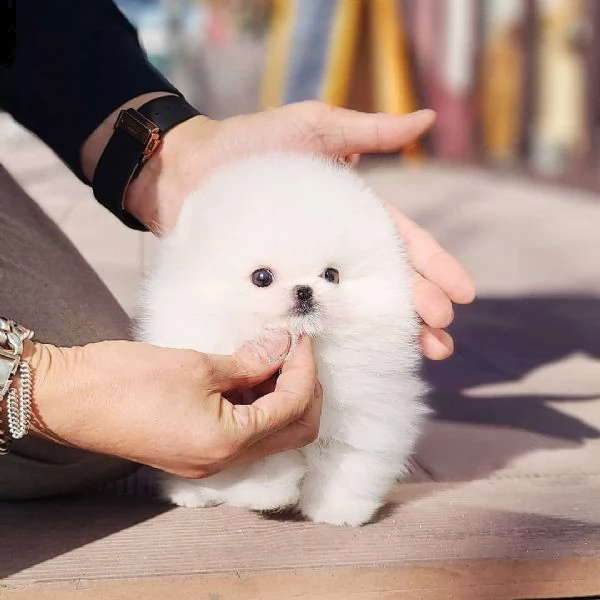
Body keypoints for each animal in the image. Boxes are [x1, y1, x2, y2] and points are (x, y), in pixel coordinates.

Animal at [136, 154, 426, 524]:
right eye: (262, 277)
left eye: (331, 275)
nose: (304, 290)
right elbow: (262, 458)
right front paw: (267, 494)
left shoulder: (365, 411)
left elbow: (345, 462)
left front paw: (337, 510)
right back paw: (189, 495)